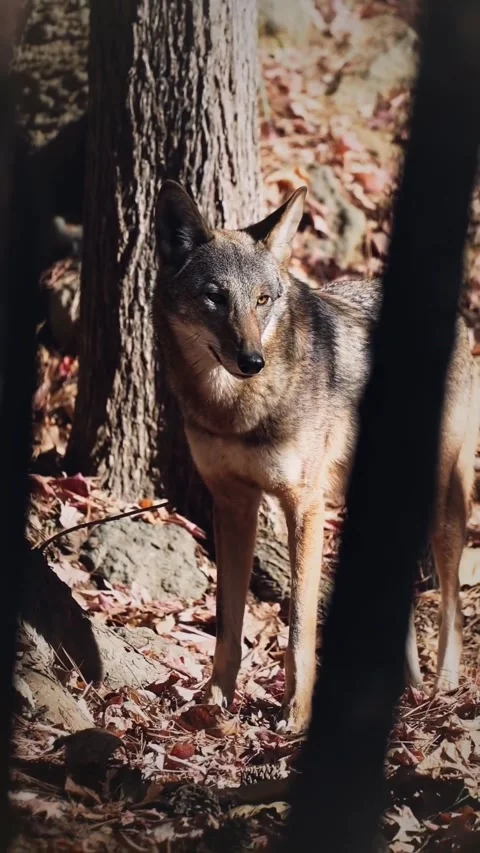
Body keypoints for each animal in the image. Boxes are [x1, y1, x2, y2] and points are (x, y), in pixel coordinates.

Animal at [153, 180, 478, 734]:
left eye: (262, 300)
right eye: (215, 297)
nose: (252, 360)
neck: (235, 408)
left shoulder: (304, 505)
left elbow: (299, 631)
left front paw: (296, 714)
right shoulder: (232, 505)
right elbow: (227, 625)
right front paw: (214, 702)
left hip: (440, 507)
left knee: (453, 603)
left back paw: (443, 687)